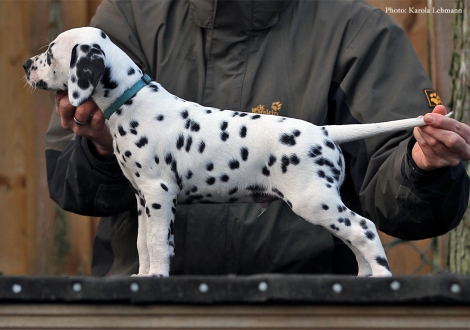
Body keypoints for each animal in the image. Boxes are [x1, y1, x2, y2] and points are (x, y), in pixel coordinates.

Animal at [24, 27, 436, 278]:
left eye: (50, 53)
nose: (27, 65)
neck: (132, 100)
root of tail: (323, 132)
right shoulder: (143, 199)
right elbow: (144, 243)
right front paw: (143, 275)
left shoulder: (158, 194)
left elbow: (157, 243)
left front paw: (156, 277)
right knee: (355, 236)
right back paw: (365, 276)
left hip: (314, 200)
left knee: (364, 229)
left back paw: (380, 278)